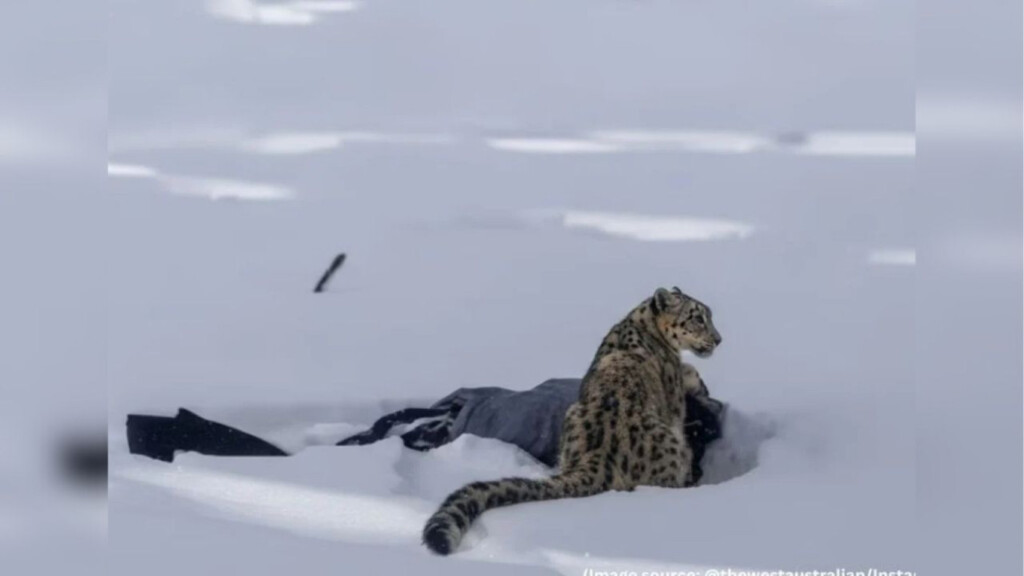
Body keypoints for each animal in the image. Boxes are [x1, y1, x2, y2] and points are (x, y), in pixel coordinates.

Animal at [422, 286, 724, 555]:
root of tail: (596, 457)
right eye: (697, 317)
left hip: (570, 415)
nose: (719, 339)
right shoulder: (675, 402)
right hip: (671, 448)